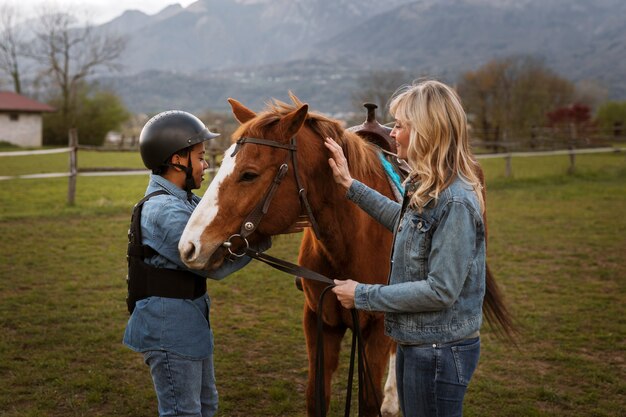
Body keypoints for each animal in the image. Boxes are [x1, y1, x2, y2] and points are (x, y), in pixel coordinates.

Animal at [177, 95, 512, 416]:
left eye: (249, 174)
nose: (189, 246)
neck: (349, 241)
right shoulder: (319, 322)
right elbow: (317, 399)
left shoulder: (376, 328)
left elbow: (369, 402)